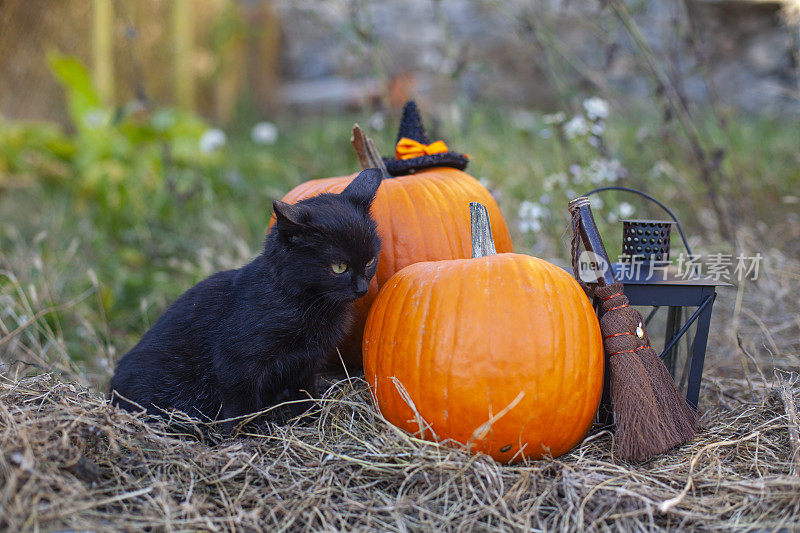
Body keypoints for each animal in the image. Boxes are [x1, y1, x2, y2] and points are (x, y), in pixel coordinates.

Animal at [108, 168, 382, 430]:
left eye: (370, 261)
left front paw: (309, 421)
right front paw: (247, 435)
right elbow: (242, 409)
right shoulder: (236, 365)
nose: (362, 289)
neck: (296, 300)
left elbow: (304, 397)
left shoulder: (304, 364)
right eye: (339, 267)